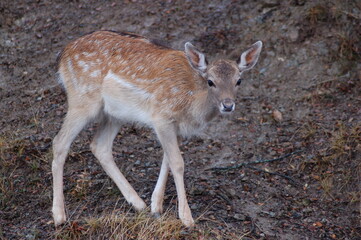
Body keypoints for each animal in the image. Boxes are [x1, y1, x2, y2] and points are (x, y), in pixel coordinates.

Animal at [52, 31, 262, 228]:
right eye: (211, 81)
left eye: (239, 81)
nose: (228, 105)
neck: (191, 102)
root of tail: (63, 54)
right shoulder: (161, 117)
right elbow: (177, 162)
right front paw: (186, 217)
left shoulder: (175, 126)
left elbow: (167, 160)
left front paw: (156, 206)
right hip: (82, 100)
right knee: (59, 142)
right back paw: (59, 215)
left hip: (114, 114)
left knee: (99, 146)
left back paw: (138, 203)